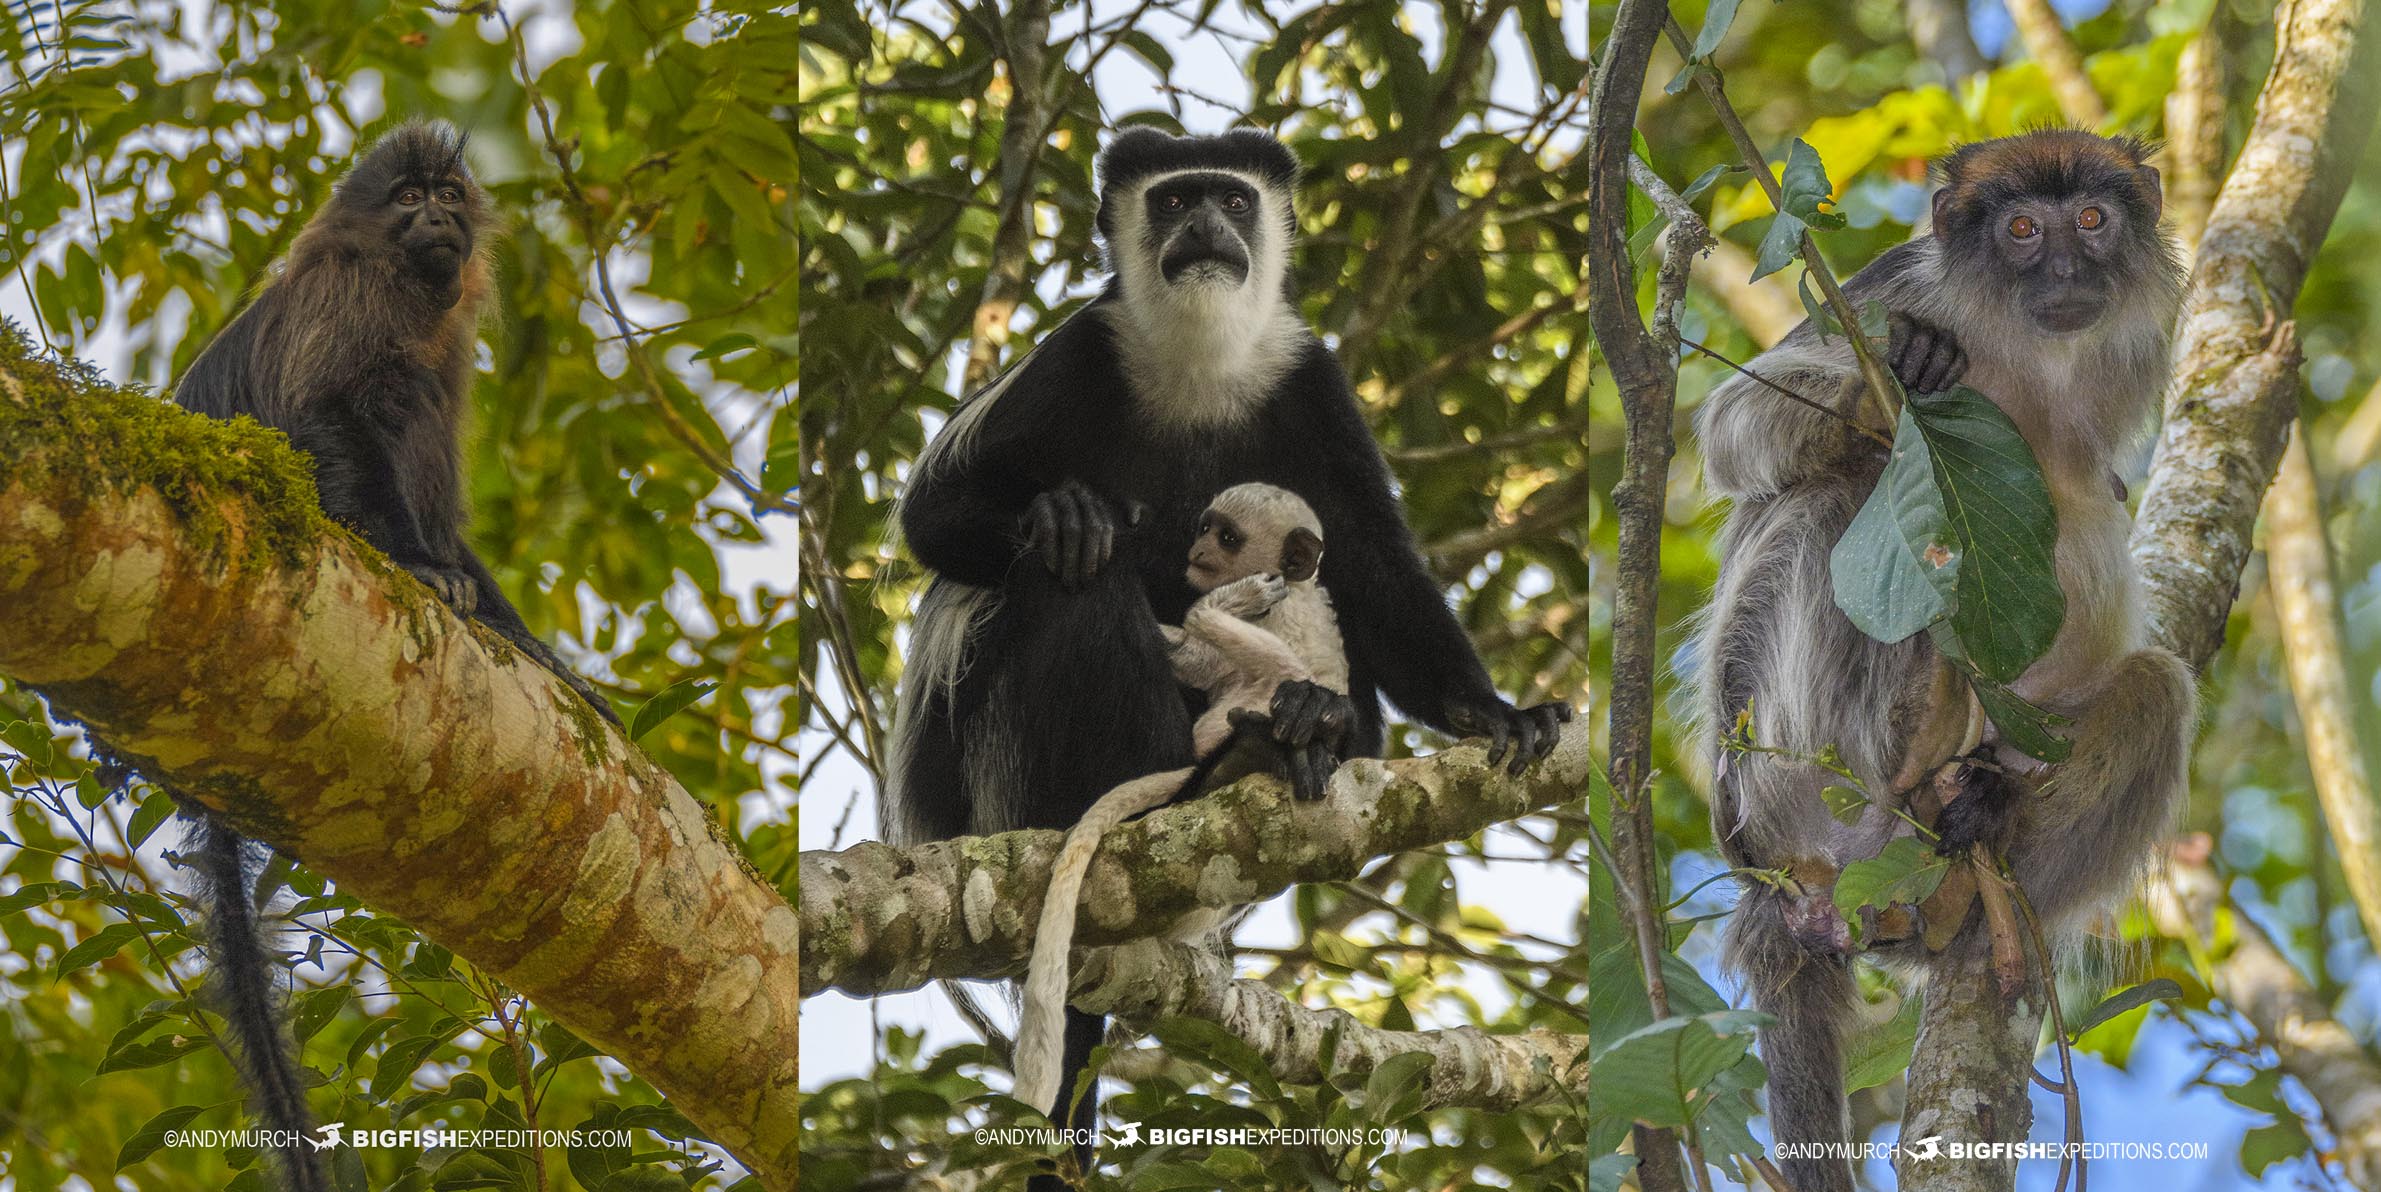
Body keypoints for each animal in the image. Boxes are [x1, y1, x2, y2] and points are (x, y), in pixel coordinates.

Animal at [165, 120, 618, 1192]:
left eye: (445, 193)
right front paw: (419, 567)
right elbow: (324, 407)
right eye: (406, 197)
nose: (435, 217)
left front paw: (540, 653)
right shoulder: (349, 295)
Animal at [1013, 483, 1348, 1114]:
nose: (1196, 552)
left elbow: (1283, 669)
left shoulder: (1285, 615)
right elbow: (1192, 659)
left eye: (1228, 537)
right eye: (1204, 527)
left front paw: (1226, 605)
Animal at [1688, 131, 2193, 1192]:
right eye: (2021, 229)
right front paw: (1897, 379)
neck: (2036, 363)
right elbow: (1733, 428)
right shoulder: (1893, 291)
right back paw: (1907, 731)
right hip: (1773, 769)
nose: (2064, 270)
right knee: (1834, 493)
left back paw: (1974, 837)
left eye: (2091, 221)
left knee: (2157, 688)